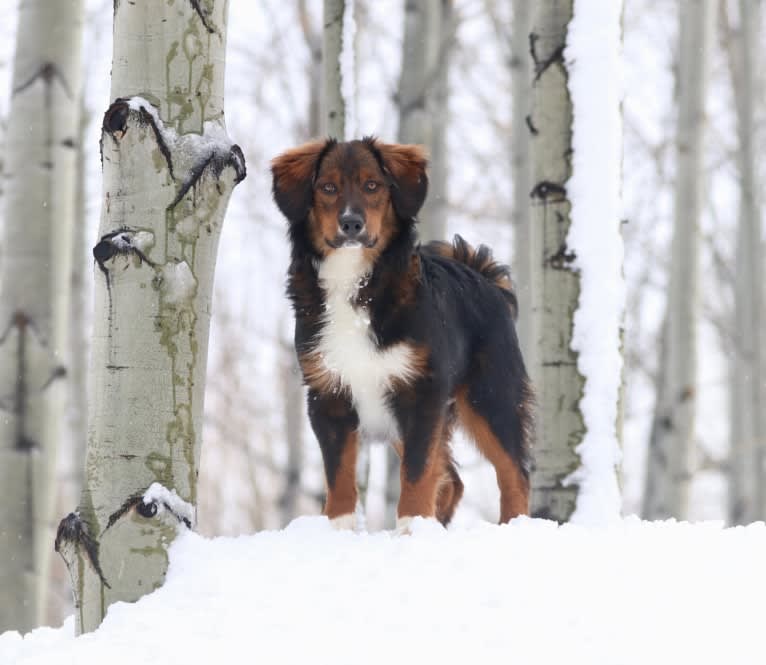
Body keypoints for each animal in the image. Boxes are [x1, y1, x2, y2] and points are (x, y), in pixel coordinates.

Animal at [272, 137, 536, 532]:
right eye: (328, 188)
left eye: (372, 185)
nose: (351, 223)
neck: (355, 282)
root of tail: (481, 273)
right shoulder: (328, 394)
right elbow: (339, 475)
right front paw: (339, 530)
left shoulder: (421, 392)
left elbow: (416, 471)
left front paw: (411, 527)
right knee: (453, 479)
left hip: (491, 397)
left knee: (514, 473)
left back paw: (512, 527)